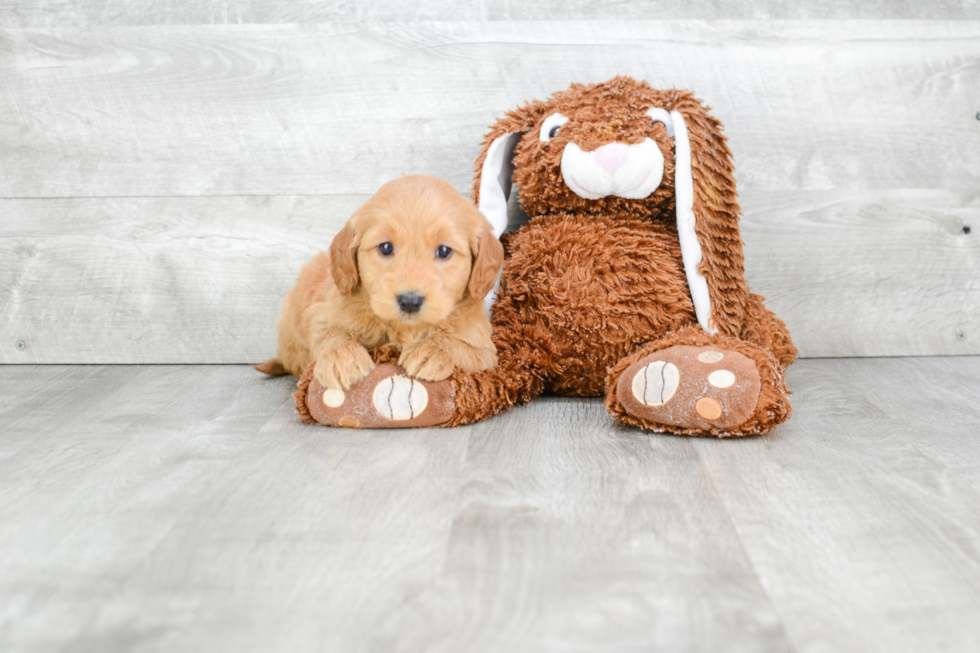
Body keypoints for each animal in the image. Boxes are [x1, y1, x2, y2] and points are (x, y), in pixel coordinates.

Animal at [256, 172, 502, 392]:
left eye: (444, 251)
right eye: (385, 247)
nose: (410, 301)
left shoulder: (485, 349)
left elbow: (462, 346)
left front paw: (431, 351)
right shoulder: (322, 313)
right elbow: (330, 332)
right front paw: (341, 358)